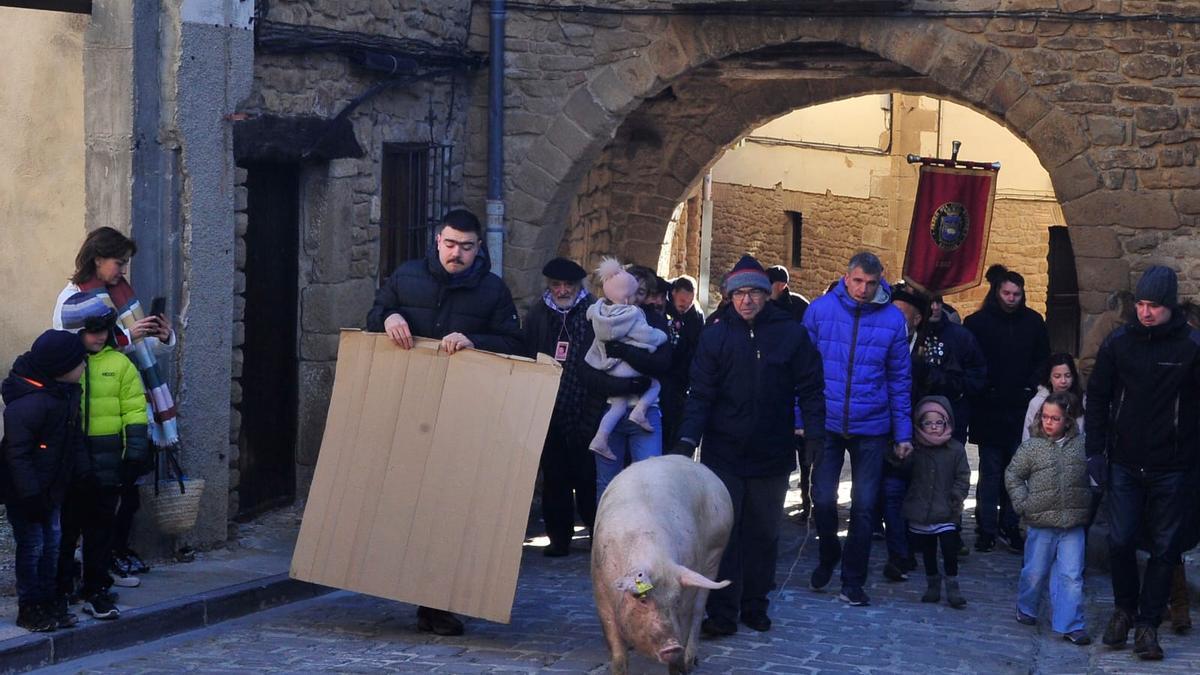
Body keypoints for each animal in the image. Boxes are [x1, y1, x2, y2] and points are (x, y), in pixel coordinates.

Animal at [588, 451, 729, 672]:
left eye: (676, 600)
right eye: (643, 600)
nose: (672, 646)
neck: (654, 558)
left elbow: (686, 622)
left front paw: (679, 667)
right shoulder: (601, 591)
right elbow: (617, 651)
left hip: (715, 552)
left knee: (699, 612)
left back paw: (690, 662)